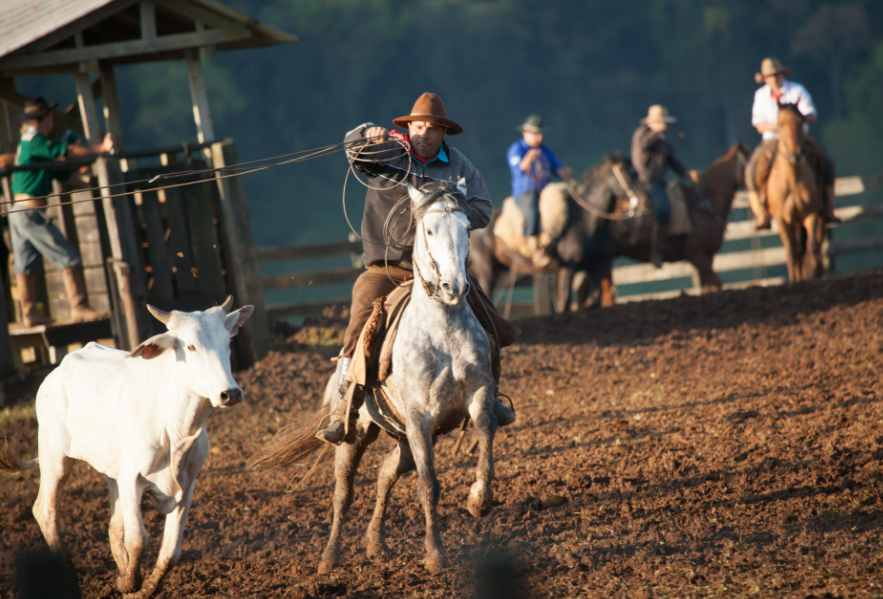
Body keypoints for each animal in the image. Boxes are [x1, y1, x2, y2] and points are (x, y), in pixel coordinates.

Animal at [0, 298, 256, 596]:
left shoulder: (186, 485)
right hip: (55, 458)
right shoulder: (132, 479)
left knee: (113, 526)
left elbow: (171, 552)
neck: (176, 428)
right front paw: (131, 583)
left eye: (227, 343)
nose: (231, 393)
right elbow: (138, 542)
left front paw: (139, 586)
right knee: (45, 511)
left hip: (112, 472)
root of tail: (56, 372)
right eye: (191, 346)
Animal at [252, 182, 500, 576]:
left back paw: (375, 543)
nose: (453, 287)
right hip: (356, 435)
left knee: (385, 474)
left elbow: (486, 441)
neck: (442, 332)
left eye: (465, 228)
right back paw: (329, 556)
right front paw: (435, 553)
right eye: (429, 231)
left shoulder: (478, 396)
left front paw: (478, 500)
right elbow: (428, 485)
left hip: (403, 437)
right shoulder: (419, 418)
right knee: (344, 492)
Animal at [596, 140, 748, 300]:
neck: (703, 205)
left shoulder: (707, 257)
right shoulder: (699, 256)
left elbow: (708, 287)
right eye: (751, 157)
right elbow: (717, 284)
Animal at [768, 102, 828, 282]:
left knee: (810, 245)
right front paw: (795, 280)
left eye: (801, 122)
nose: (796, 154)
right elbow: (792, 252)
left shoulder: (811, 212)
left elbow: (812, 245)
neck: (792, 180)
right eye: (780, 124)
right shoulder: (781, 218)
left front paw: (816, 272)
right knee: (795, 250)